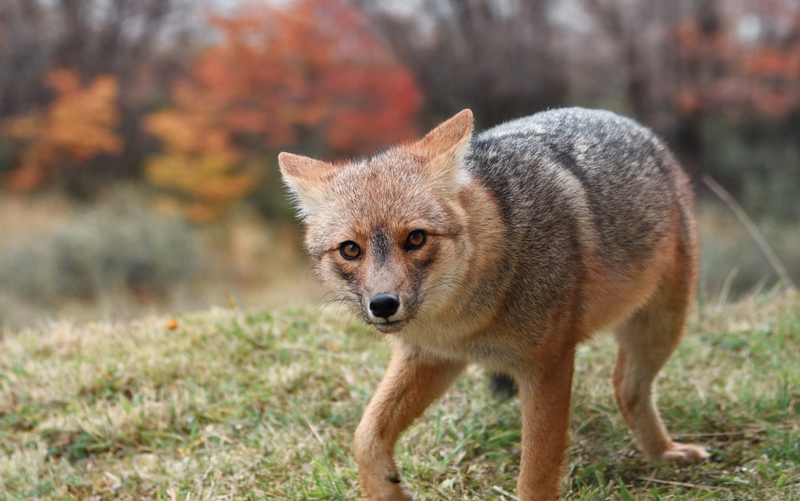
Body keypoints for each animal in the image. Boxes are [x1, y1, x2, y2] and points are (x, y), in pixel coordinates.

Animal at [278, 109, 708, 500]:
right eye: (351, 249)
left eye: (416, 239)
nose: (383, 304)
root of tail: (633, 125)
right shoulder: (433, 358)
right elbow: (365, 435)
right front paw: (387, 492)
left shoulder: (547, 367)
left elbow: (536, 475)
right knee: (624, 388)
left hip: (661, 327)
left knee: (626, 386)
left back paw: (665, 453)